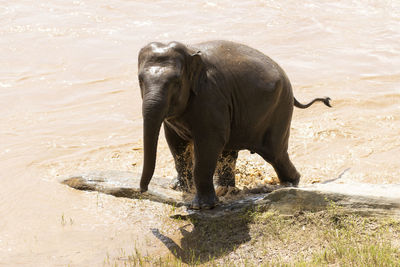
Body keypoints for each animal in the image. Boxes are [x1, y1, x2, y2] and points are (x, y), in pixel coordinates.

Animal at [138, 40, 332, 210]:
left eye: (176, 82)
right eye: (140, 80)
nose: (143, 190)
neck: (190, 50)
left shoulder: (211, 98)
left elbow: (209, 144)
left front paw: (202, 207)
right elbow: (175, 143)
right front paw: (179, 188)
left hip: (279, 109)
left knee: (275, 154)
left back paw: (290, 183)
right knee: (230, 151)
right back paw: (226, 189)